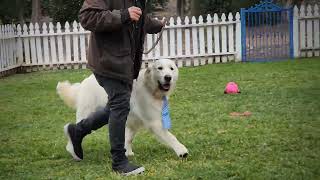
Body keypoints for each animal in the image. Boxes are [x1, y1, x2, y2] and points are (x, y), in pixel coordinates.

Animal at [56, 58, 189, 158]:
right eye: (160, 68)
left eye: (171, 68)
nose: (168, 77)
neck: (150, 88)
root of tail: (84, 82)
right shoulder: (154, 122)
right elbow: (171, 136)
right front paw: (181, 151)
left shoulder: (134, 122)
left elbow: (128, 138)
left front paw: (128, 152)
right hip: (87, 112)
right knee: (77, 128)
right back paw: (72, 148)